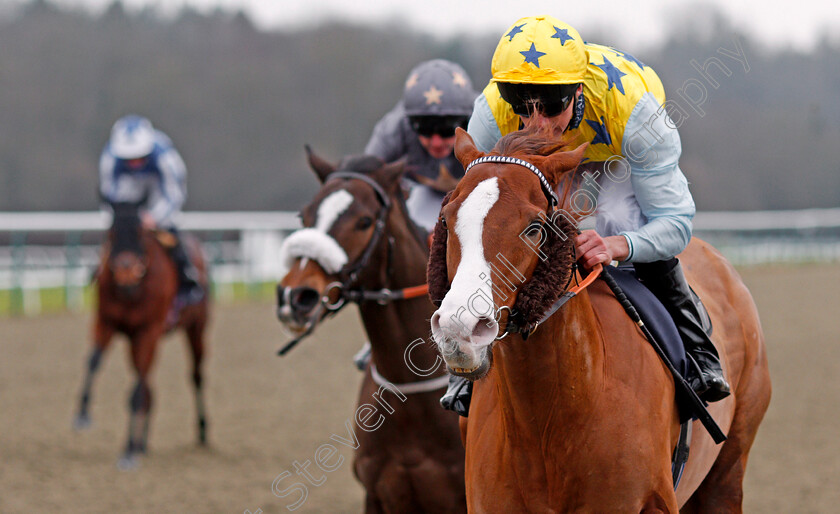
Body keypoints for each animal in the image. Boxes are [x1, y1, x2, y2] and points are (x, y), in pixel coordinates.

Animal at [75, 197, 210, 468]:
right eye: (112, 232)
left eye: (139, 231)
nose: (126, 275)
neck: (133, 292)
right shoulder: (106, 322)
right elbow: (93, 361)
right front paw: (83, 413)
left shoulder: (149, 330)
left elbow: (135, 390)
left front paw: (128, 449)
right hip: (135, 341)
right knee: (149, 385)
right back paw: (143, 444)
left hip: (196, 328)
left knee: (195, 375)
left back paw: (202, 431)